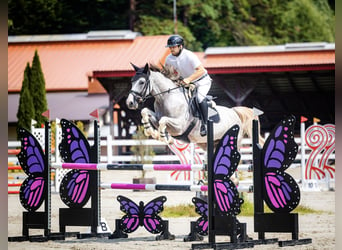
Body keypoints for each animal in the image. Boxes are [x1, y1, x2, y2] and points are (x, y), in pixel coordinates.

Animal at [125, 62, 262, 150]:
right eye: (131, 81)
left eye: (142, 82)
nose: (129, 102)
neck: (166, 98)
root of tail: (235, 112)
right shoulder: (157, 118)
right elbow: (145, 111)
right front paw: (150, 131)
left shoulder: (179, 126)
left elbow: (163, 121)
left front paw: (163, 137)